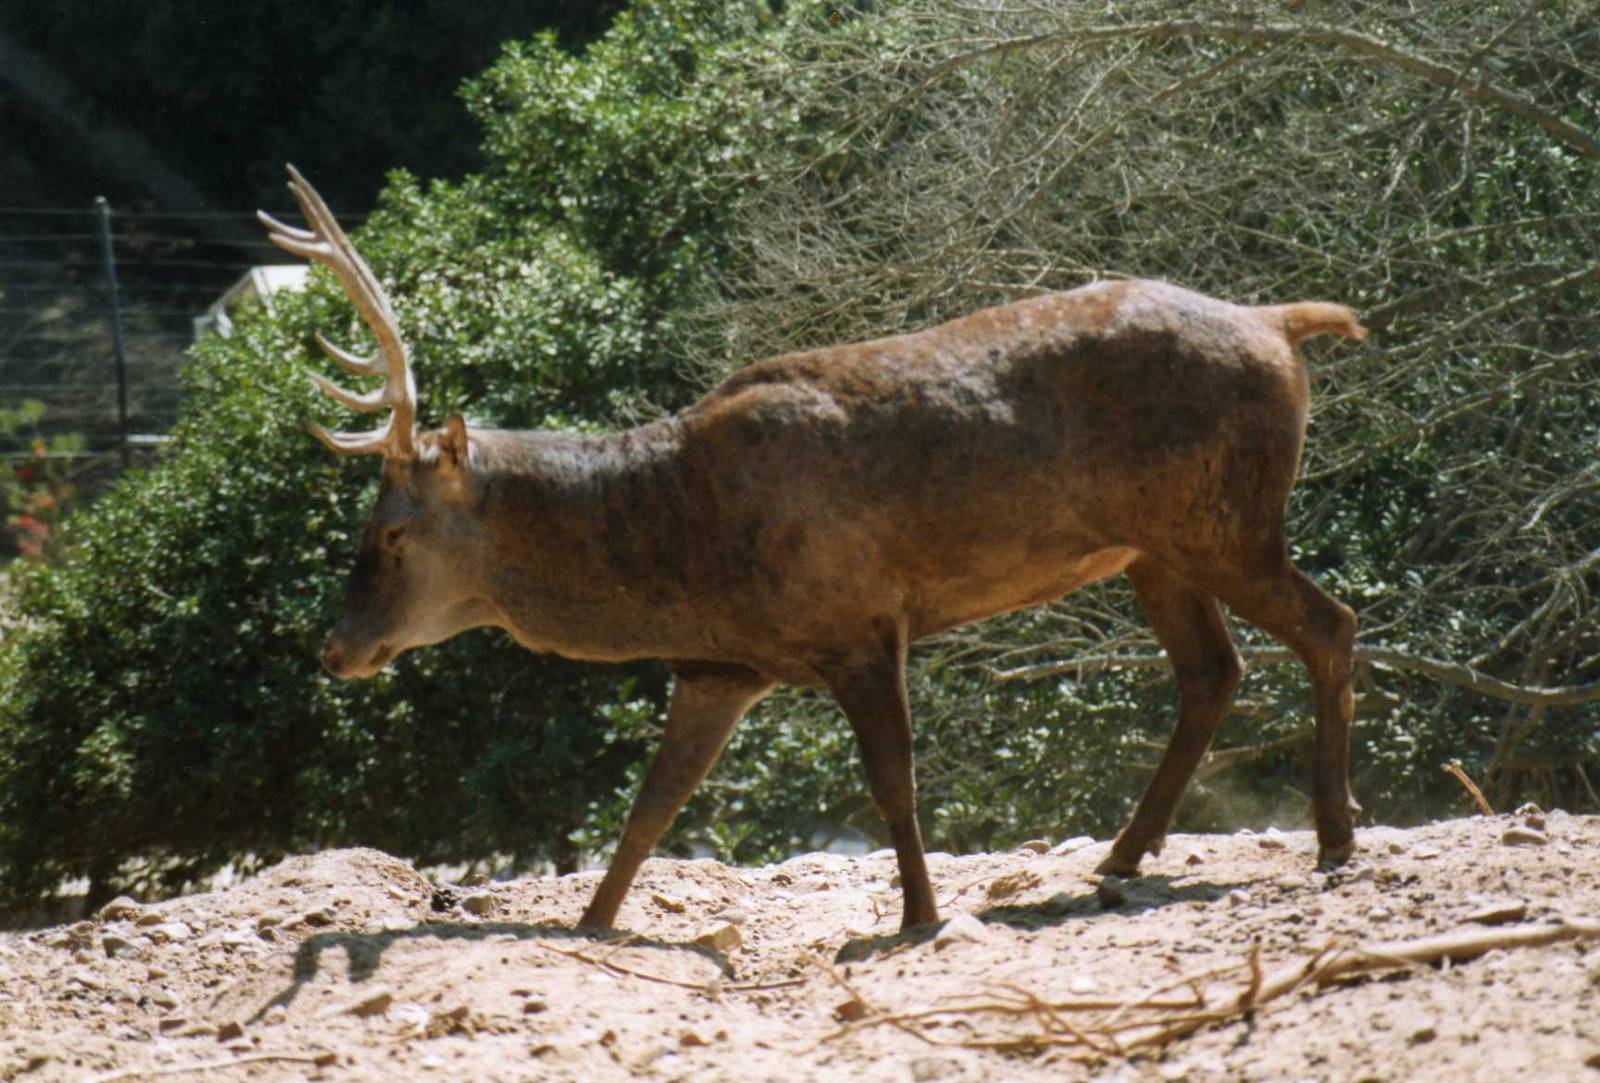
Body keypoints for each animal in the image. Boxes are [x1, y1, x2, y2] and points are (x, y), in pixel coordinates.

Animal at [260, 165, 1368, 933]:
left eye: (390, 531)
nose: (334, 650)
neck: (681, 544)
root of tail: (1279, 322)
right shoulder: (721, 663)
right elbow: (651, 807)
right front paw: (592, 923)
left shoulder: (857, 619)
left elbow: (892, 783)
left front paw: (919, 915)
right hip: (1158, 548)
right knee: (1213, 669)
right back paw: (1124, 858)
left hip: (1225, 519)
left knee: (1330, 623)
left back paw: (1333, 833)